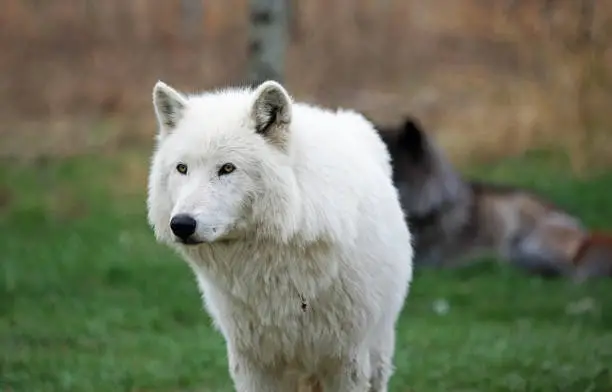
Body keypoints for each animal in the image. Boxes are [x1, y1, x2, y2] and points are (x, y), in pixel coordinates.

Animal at [146, 79, 414, 392]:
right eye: (182, 168)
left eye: (227, 168)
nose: (182, 224)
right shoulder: (251, 361)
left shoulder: (346, 359)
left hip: (377, 349)